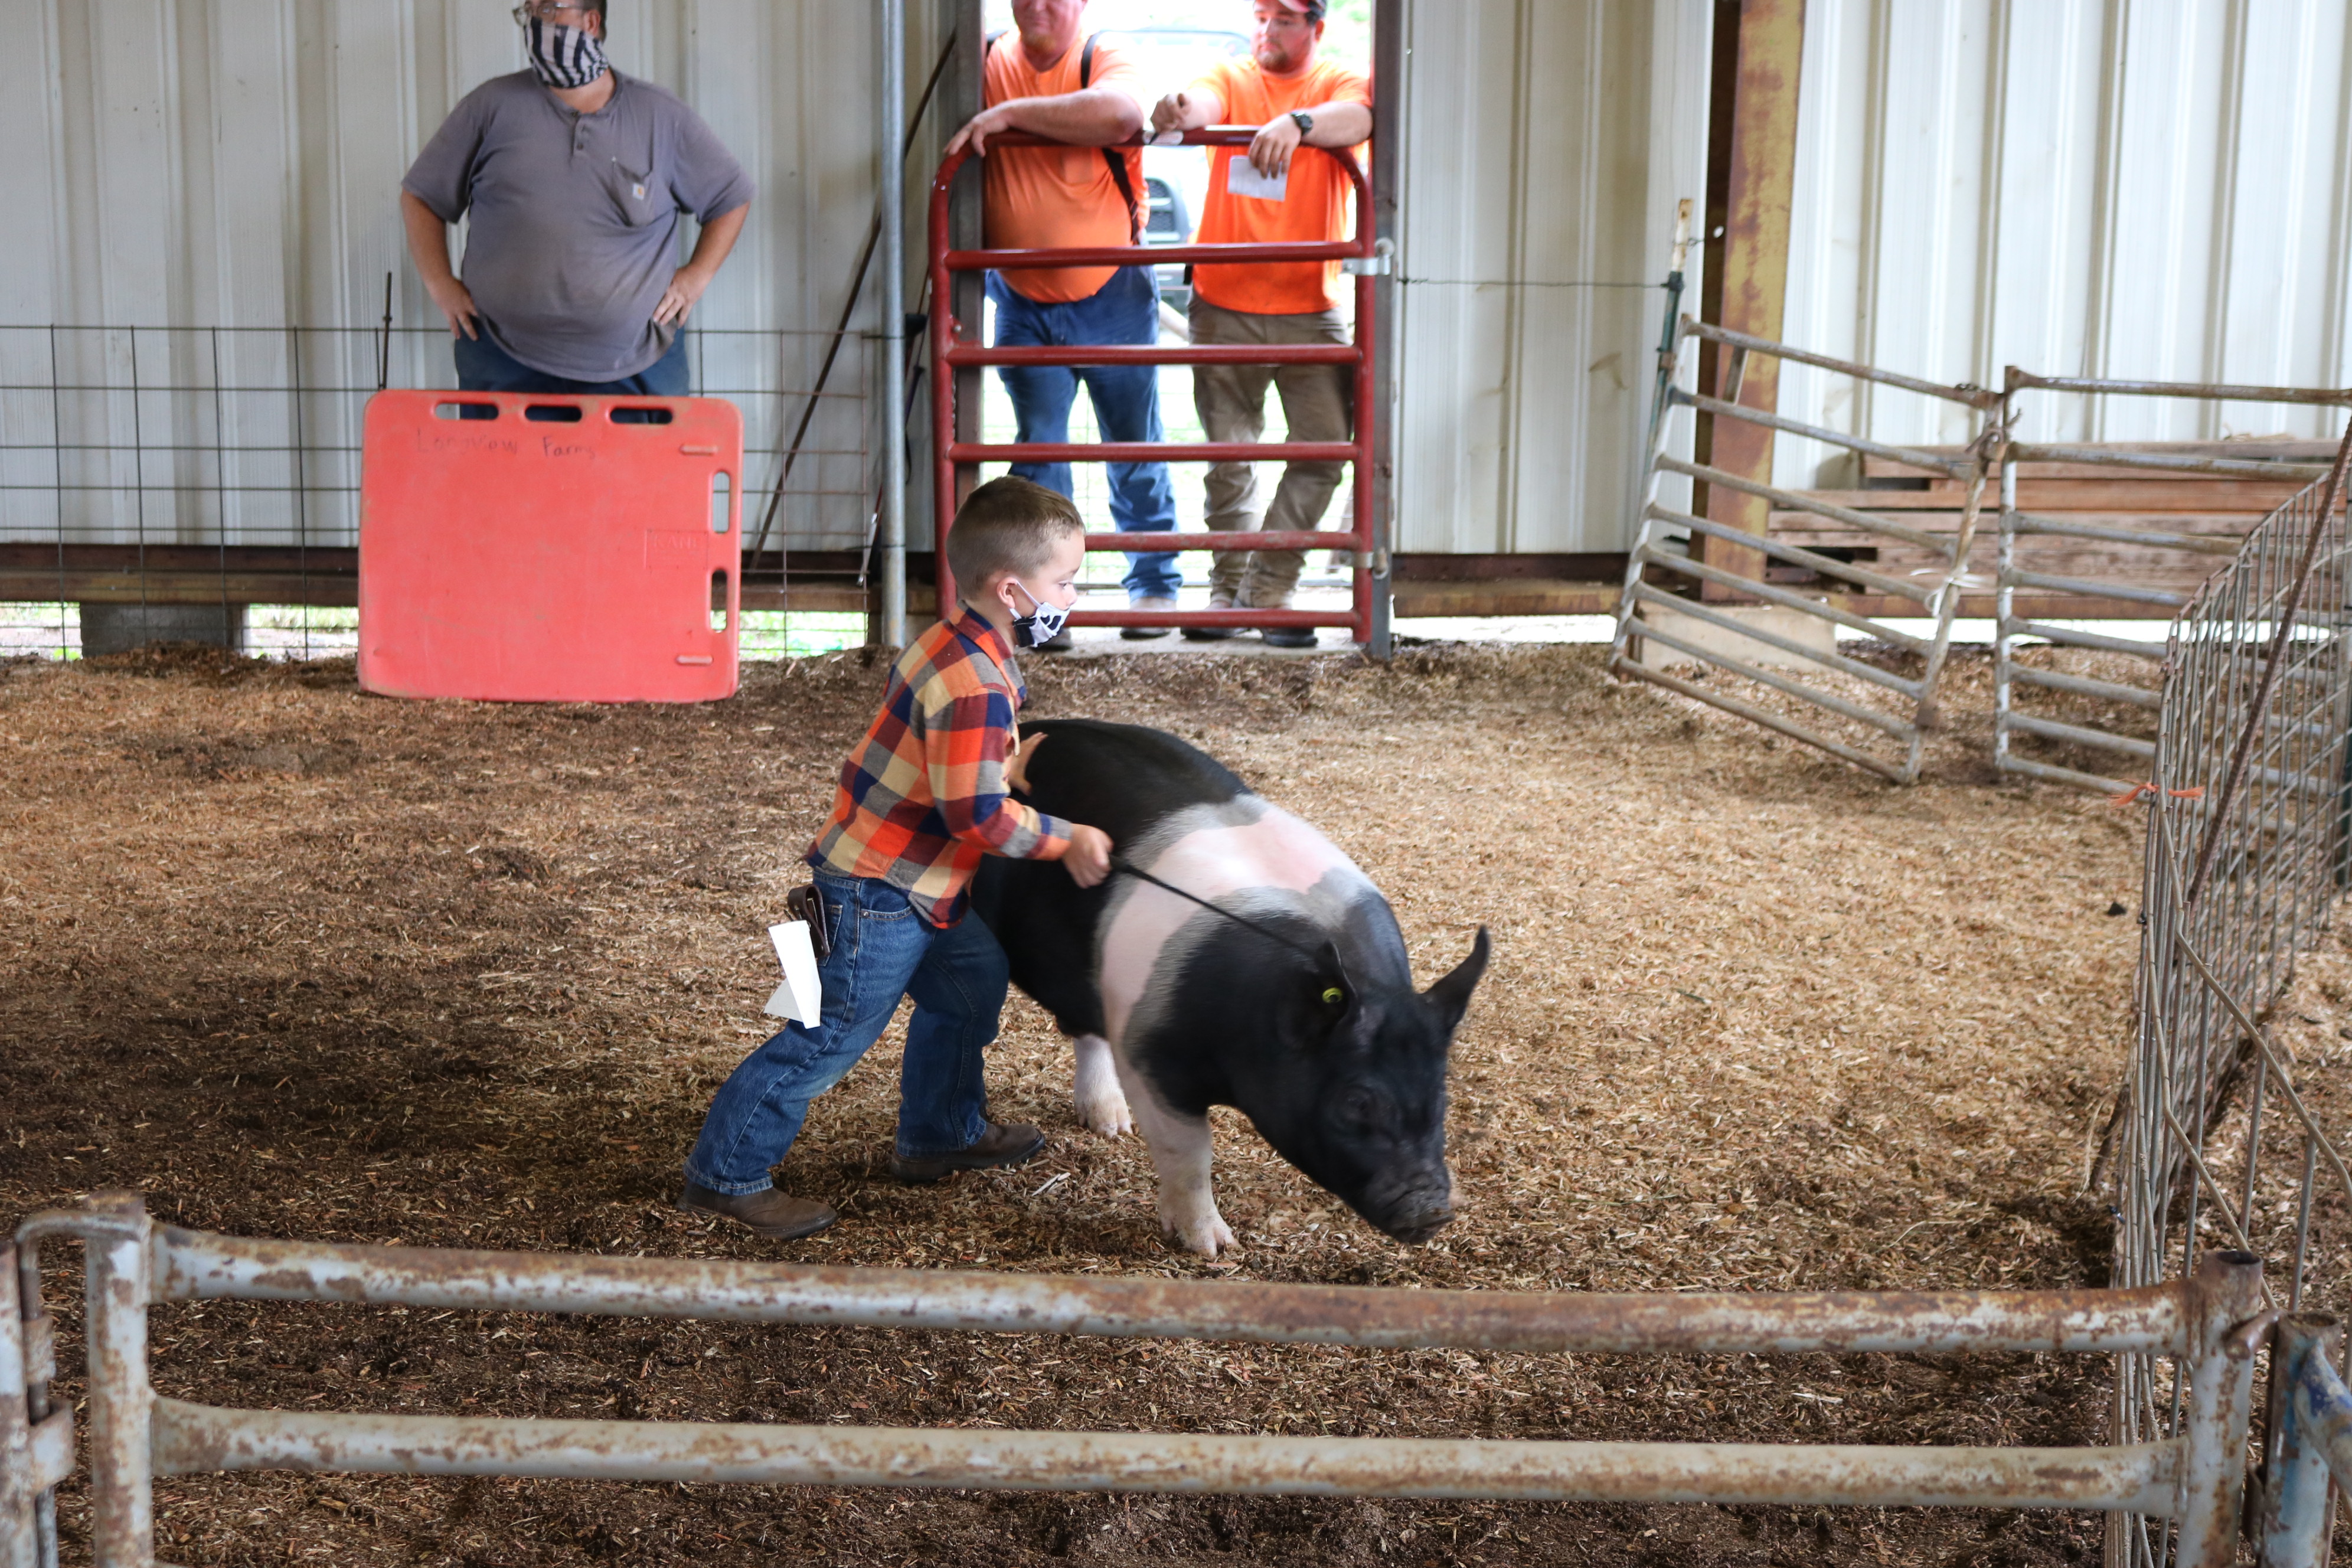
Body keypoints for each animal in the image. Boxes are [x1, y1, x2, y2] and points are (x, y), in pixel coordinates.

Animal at [969, 724, 1486, 1260]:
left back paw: (1112, 1127)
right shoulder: (1149, 1052)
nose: (1434, 1209)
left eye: (1441, 1093)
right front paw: (1212, 1248)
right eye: (1356, 1102)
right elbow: (1189, 1153)